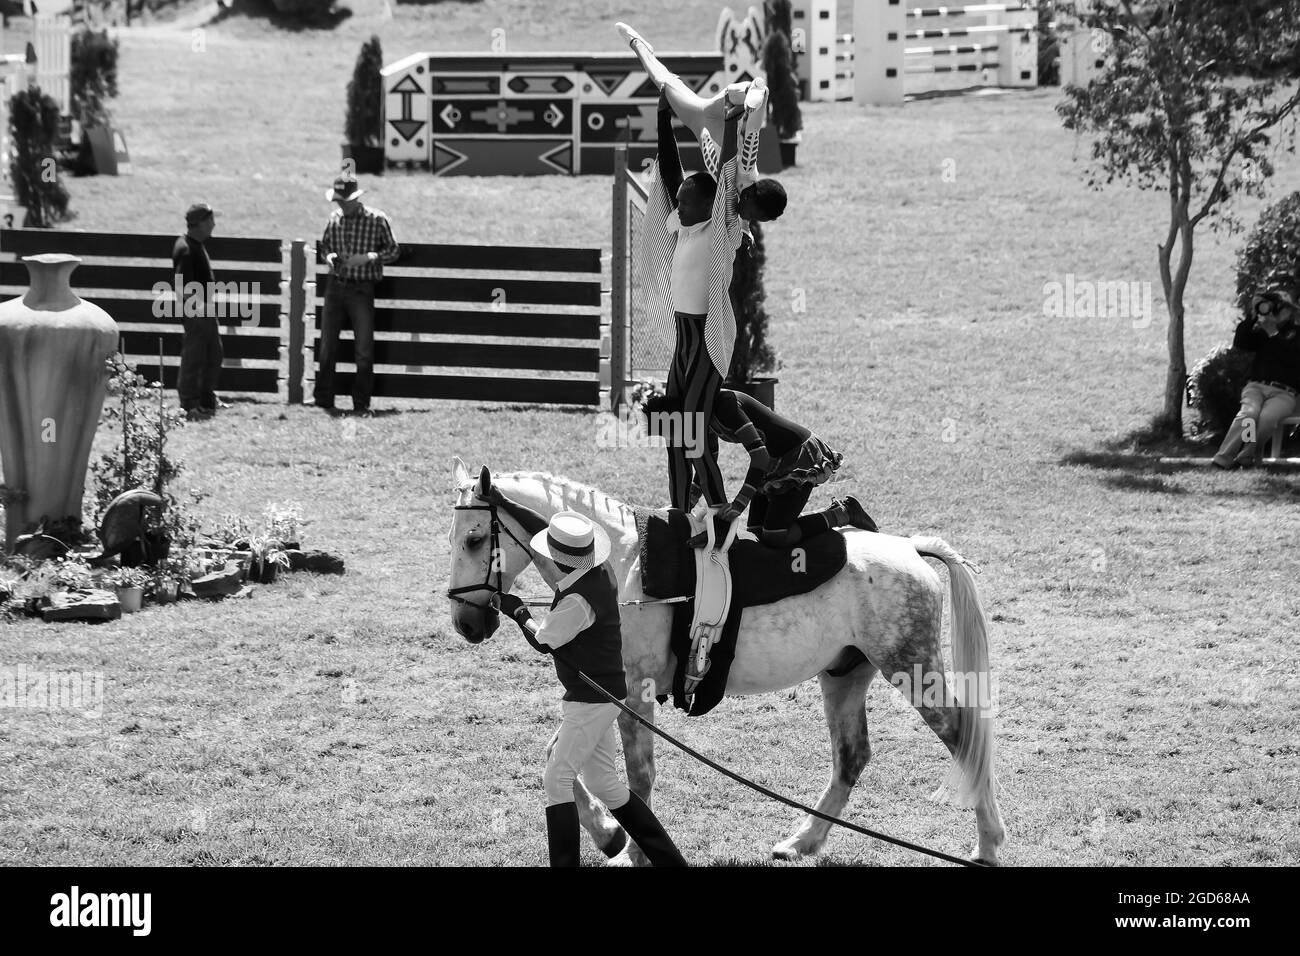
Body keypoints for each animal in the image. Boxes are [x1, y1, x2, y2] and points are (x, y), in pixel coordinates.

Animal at [445, 457, 1006, 865]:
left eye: (475, 539)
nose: (466, 623)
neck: (620, 563)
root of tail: (911, 549)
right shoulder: (602, 694)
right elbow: (559, 757)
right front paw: (609, 835)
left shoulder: (632, 694)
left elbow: (638, 777)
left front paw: (632, 850)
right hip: (845, 676)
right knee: (852, 757)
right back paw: (802, 842)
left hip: (912, 671)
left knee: (965, 739)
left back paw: (988, 845)